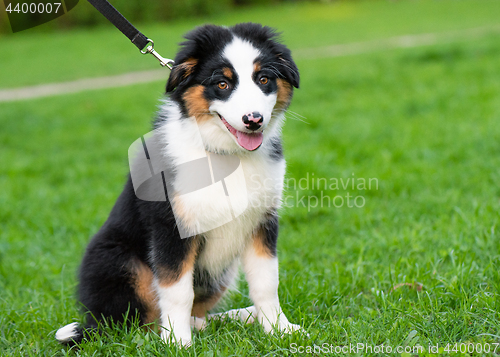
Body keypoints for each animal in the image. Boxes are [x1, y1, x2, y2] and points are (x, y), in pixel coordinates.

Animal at [57, 22, 302, 344]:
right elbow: (176, 289)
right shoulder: (171, 226)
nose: (253, 120)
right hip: (119, 262)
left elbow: (266, 283)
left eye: (263, 79)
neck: (226, 155)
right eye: (222, 84)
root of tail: (93, 322)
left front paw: (279, 329)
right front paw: (177, 342)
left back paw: (234, 318)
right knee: (131, 326)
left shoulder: (262, 220)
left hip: (221, 272)